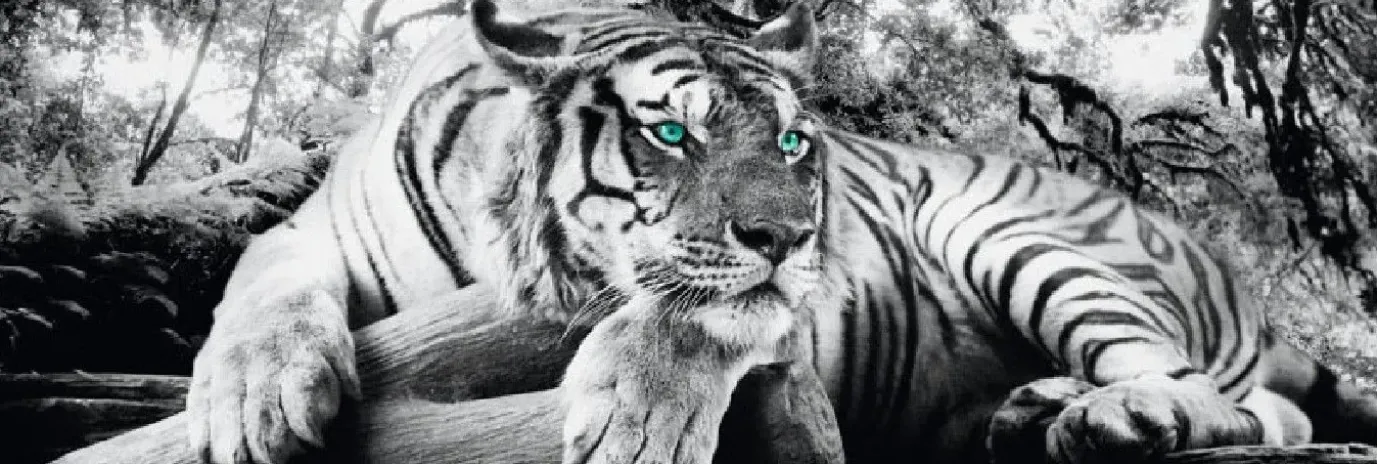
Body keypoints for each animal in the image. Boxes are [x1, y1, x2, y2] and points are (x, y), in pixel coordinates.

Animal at [184, 0, 1377, 463]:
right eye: (671, 130)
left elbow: (698, 312)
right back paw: (1035, 405)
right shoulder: (312, 228)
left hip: (1017, 234)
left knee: (1218, 396)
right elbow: (260, 275)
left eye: (798, 141)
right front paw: (253, 399)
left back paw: (1115, 413)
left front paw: (636, 418)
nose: (800, 236)